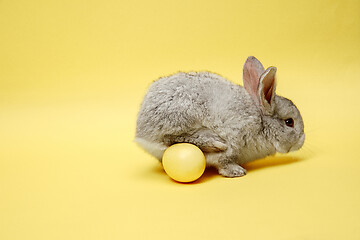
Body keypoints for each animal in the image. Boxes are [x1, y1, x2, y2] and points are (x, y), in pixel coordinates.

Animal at [135, 55, 304, 176]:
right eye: (289, 122)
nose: (301, 141)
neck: (261, 122)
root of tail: (140, 131)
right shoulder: (234, 140)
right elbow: (224, 162)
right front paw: (236, 171)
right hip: (181, 116)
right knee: (171, 137)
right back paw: (213, 143)